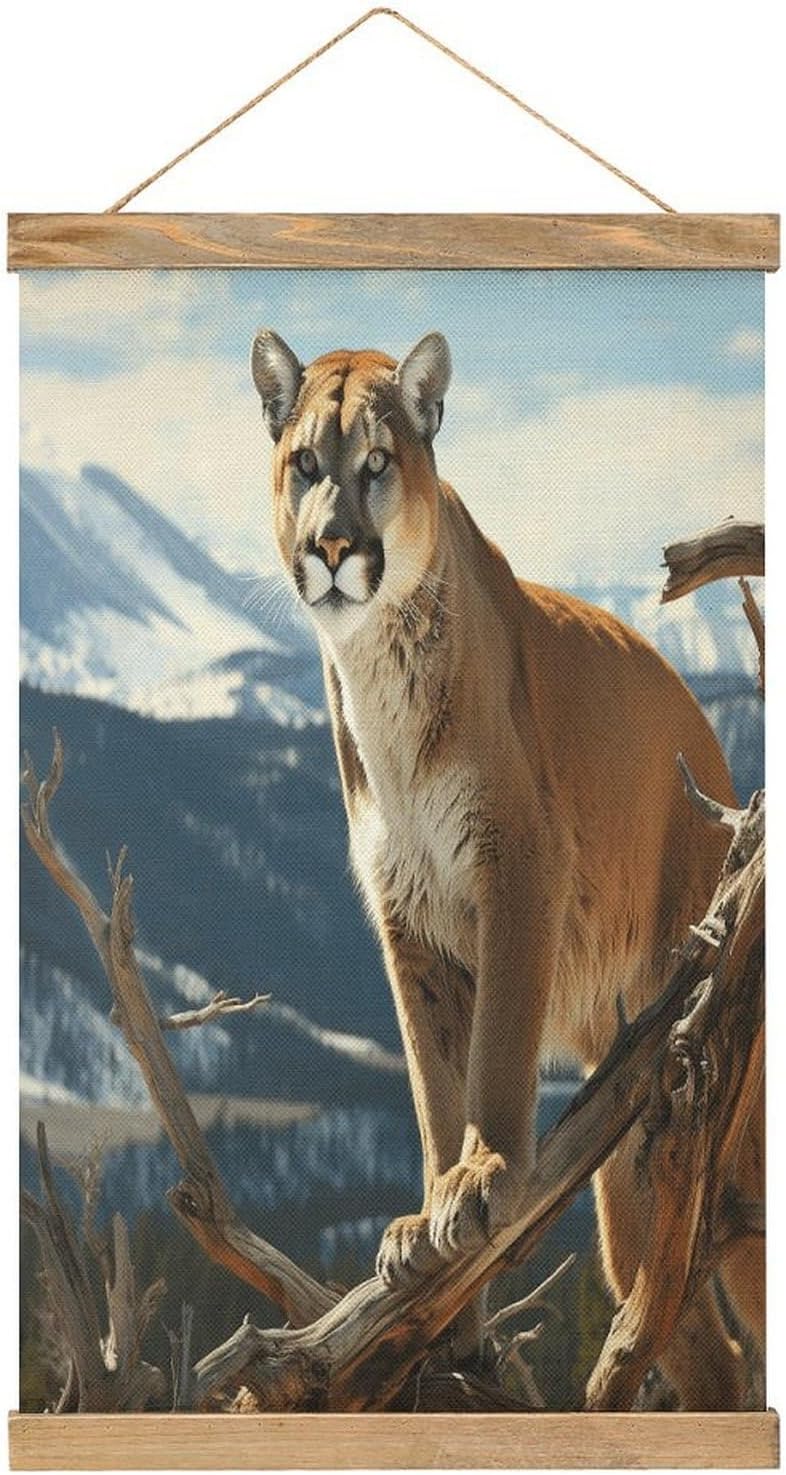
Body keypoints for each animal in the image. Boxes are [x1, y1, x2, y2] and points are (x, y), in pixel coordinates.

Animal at [251, 328, 764, 1409]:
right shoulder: (403, 915)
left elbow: (491, 1051)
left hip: (728, 1117)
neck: (377, 668)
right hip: (644, 1161)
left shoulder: (517, 861)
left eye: (377, 463)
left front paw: (481, 1177)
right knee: (701, 1344)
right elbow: (428, 1081)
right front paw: (429, 1246)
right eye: (305, 464)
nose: (331, 548)